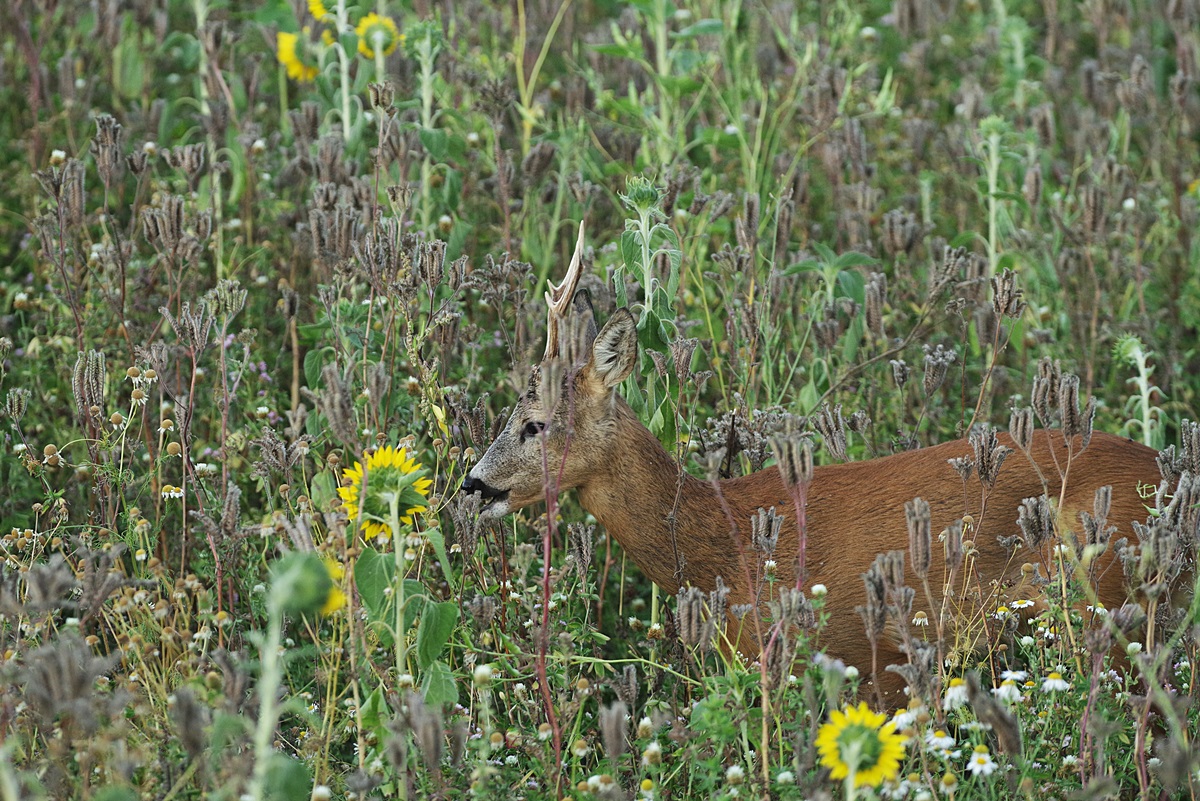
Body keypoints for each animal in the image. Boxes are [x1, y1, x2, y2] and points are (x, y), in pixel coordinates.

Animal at [463, 221, 1166, 705]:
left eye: (535, 423)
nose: (473, 485)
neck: (722, 543)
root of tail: (1168, 473)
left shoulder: (852, 660)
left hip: (1106, 607)